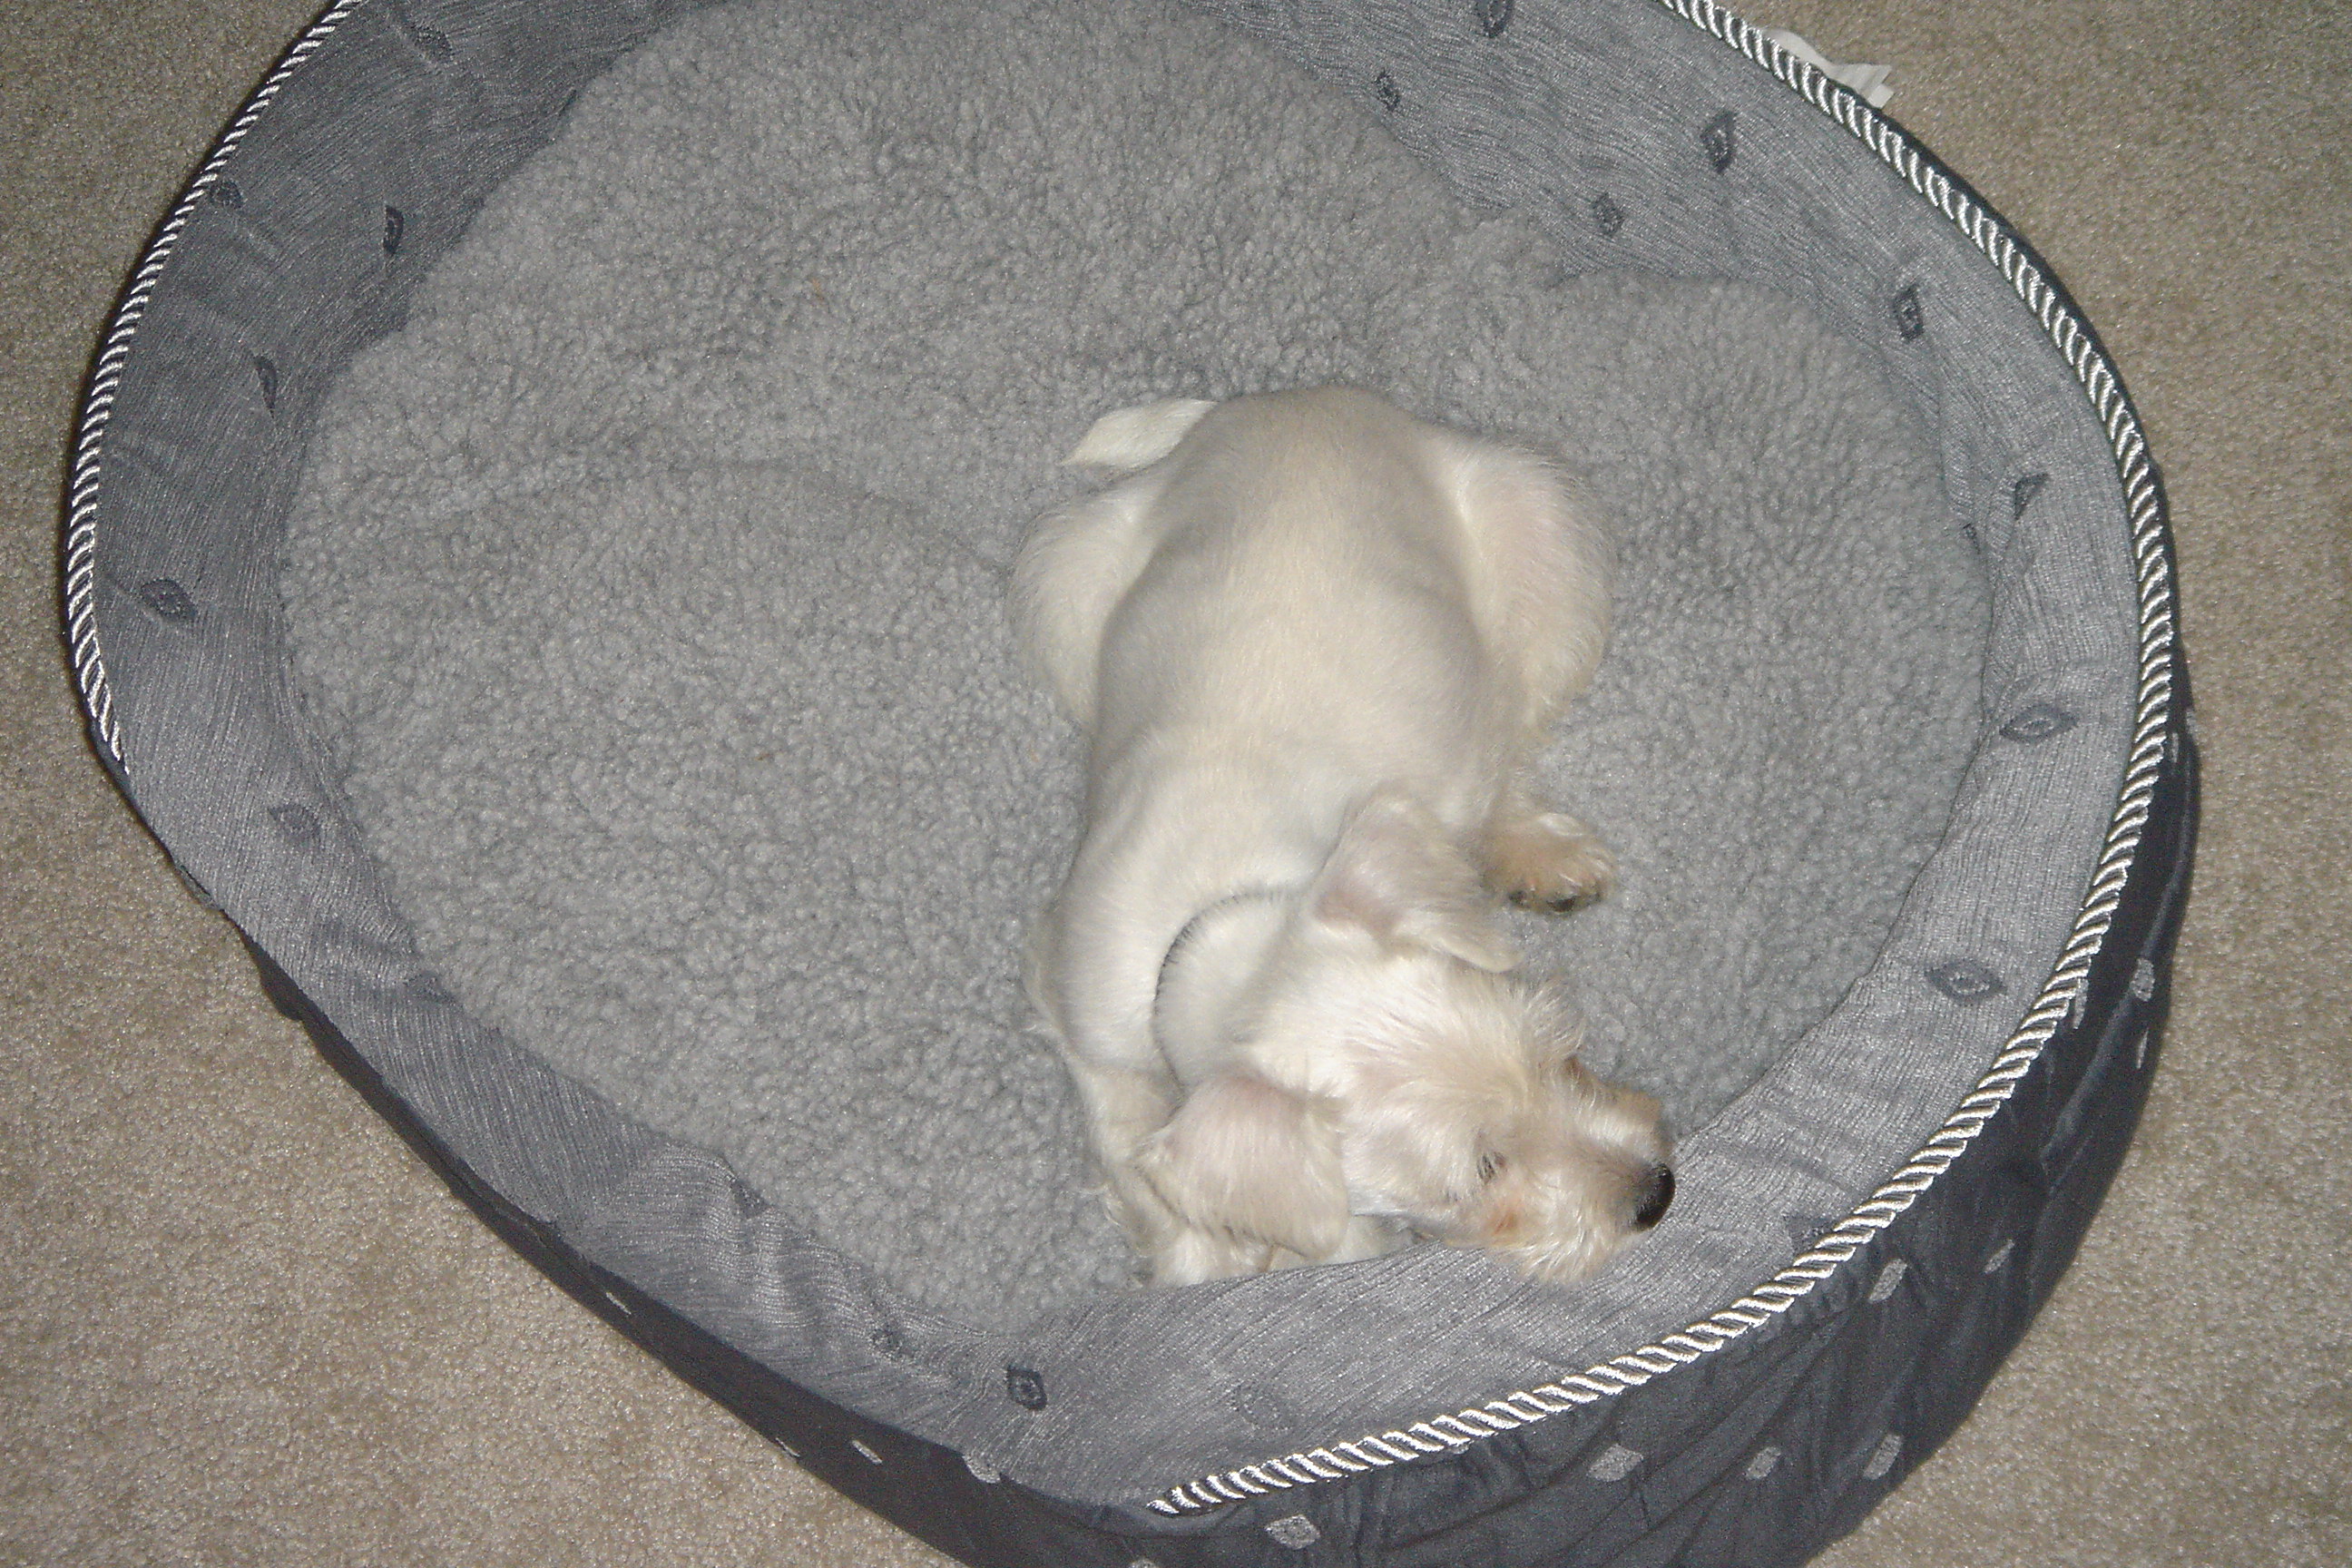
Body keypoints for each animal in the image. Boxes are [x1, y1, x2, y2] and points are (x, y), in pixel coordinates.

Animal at [1015, 388, 1672, 1286]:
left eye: (1556, 1055)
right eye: (1482, 1169)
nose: (1657, 1191)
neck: (1229, 908)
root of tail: (1271, 401)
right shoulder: (1083, 1014)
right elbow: (1135, 1146)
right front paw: (1204, 1257)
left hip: (1545, 539)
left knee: (1511, 724)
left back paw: (1541, 856)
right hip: (1067, 591)